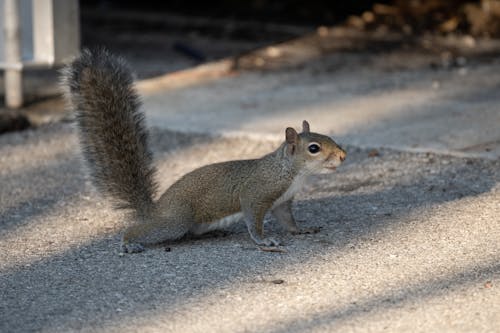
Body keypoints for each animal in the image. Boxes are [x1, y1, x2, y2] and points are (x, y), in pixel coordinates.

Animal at [60, 48, 346, 252]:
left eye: (328, 137)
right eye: (314, 148)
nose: (343, 156)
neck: (290, 171)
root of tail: (156, 209)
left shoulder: (282, 202)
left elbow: (287, 220)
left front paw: (301, 230)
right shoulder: (256, 193)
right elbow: (254, 220)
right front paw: (265, 241)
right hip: (175, 221)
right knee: (149, 230)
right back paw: (129, 243)